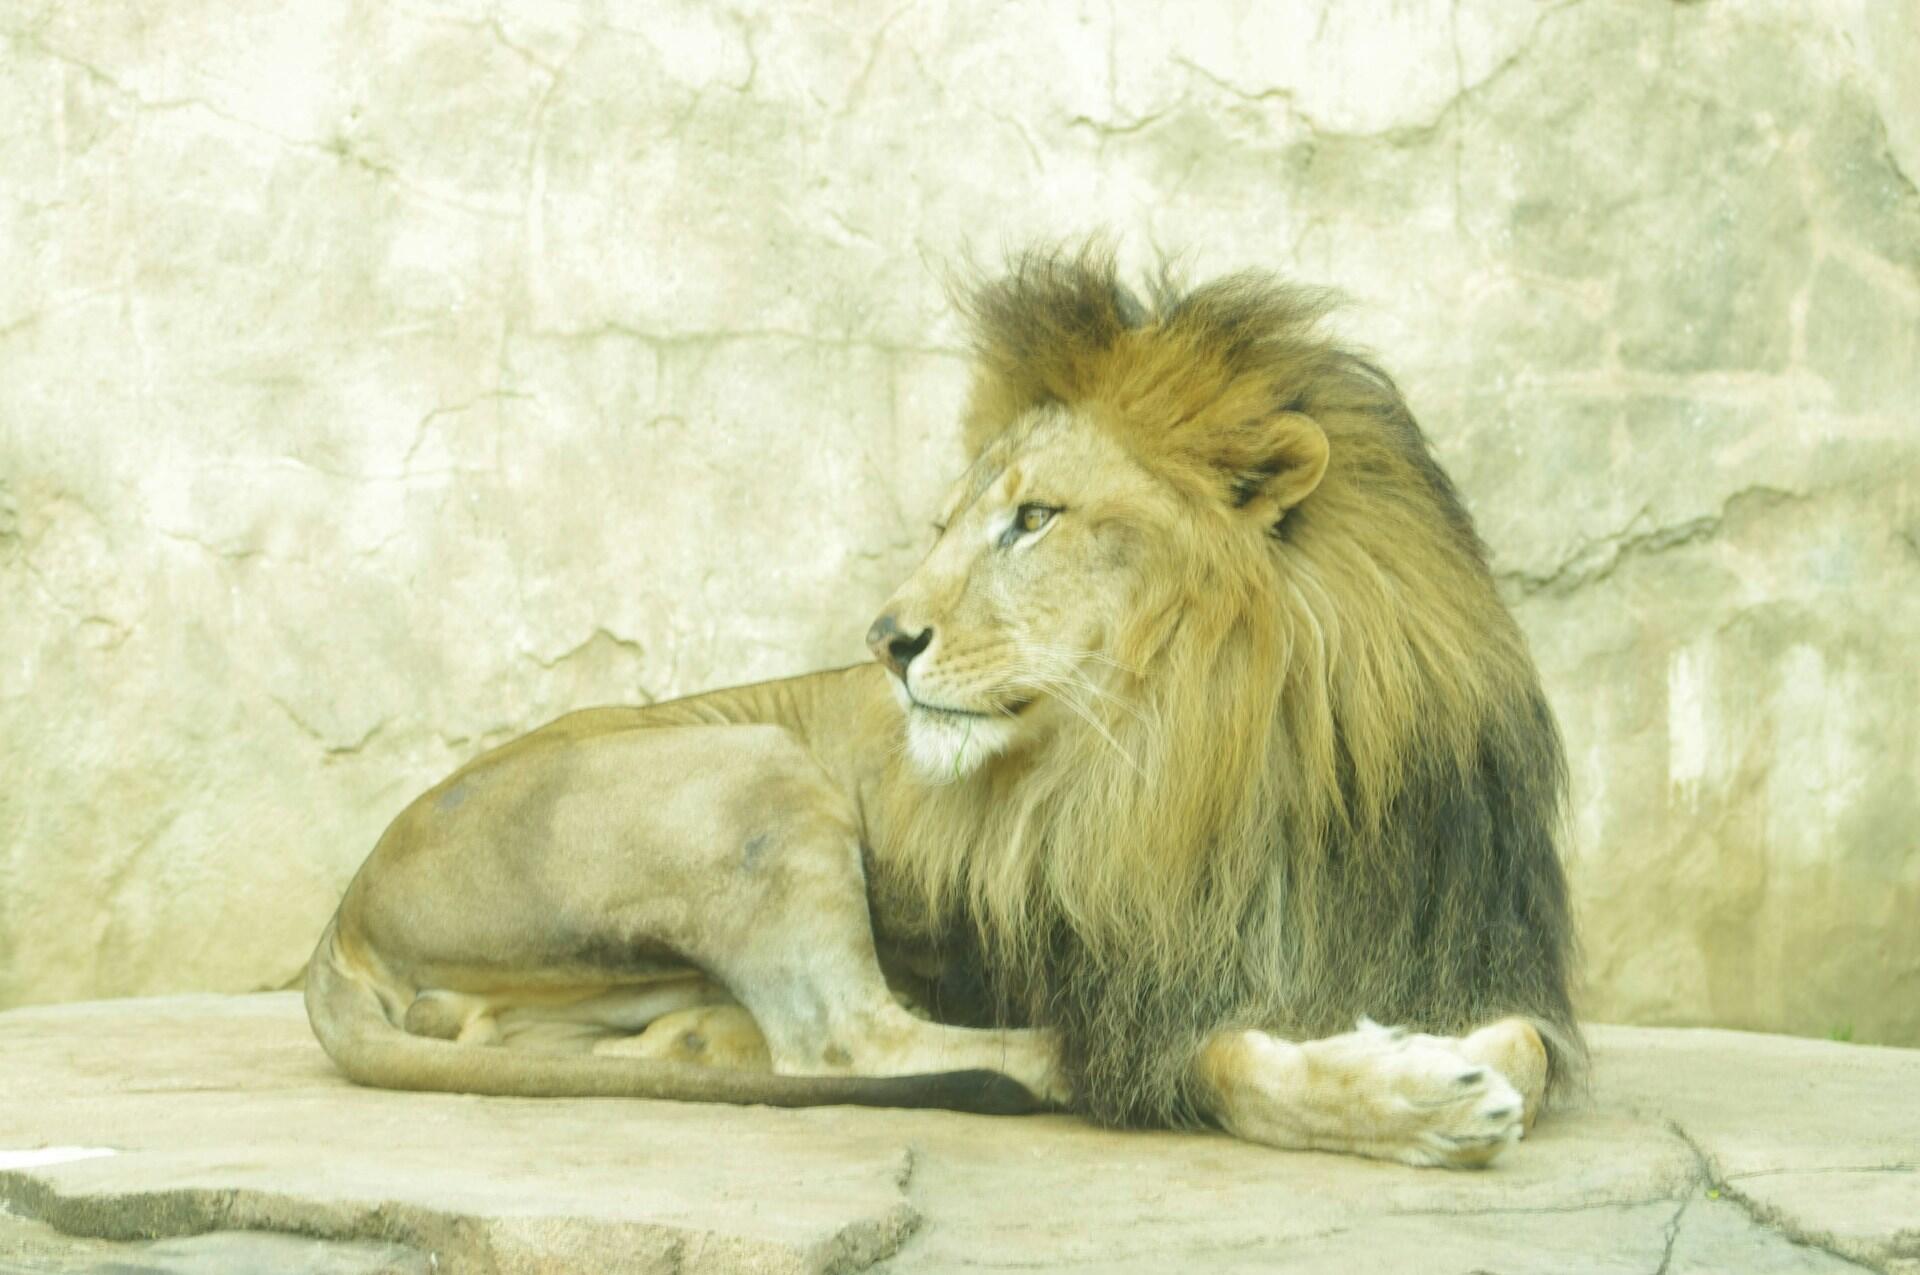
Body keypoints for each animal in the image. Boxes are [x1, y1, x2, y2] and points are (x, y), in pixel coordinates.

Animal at [306, 247, 1580, 1168]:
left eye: (1035, 518)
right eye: (947, 526)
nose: (885, 639)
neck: (1232, 745)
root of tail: (345, 909)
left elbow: (1526, 1042)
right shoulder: (1136, 993)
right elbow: (1208, 1060)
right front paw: (1419, 1098)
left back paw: (707, 1036)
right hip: (752, 772)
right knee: (845, 1044)